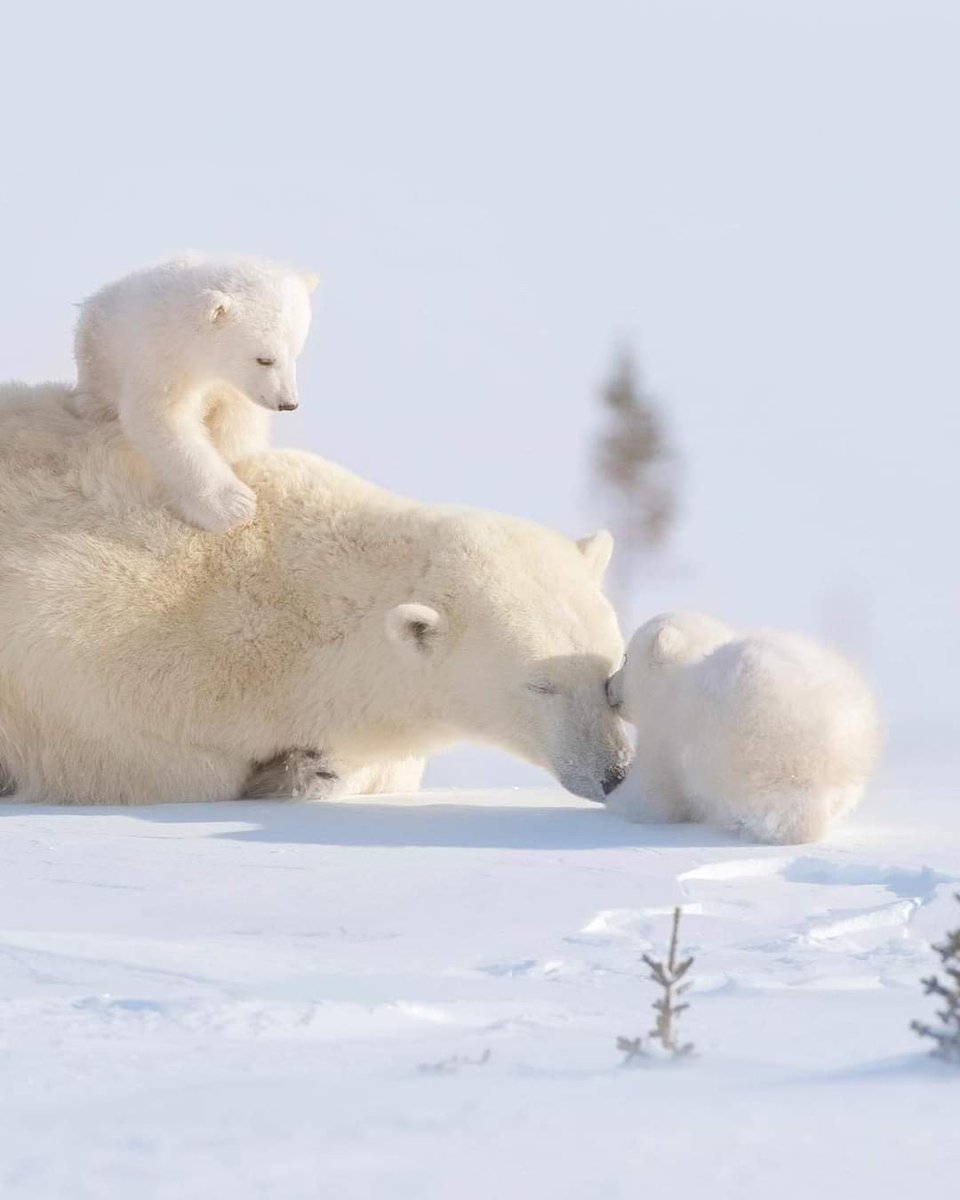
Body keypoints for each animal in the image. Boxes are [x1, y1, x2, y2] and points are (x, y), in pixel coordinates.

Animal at [0, 384, 628, 806]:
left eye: (612, 674)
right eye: (540, 684)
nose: (614, 773)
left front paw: (311, 768)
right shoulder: (92, 627)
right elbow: (129, 755)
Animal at [73, 253, 319, 530]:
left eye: (295, 353)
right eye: (264, 359)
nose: (288, 403)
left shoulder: (233, 386)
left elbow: (238, 422)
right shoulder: (163, 359)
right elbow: (163, 419)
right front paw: (234, 505)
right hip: (97, 359)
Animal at [604, 609, 883, 844]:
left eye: (626, 658)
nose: (607, 685)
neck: (675, 681)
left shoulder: (667, 733)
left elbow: (654, 793)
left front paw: (617, 797)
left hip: (749, 752)